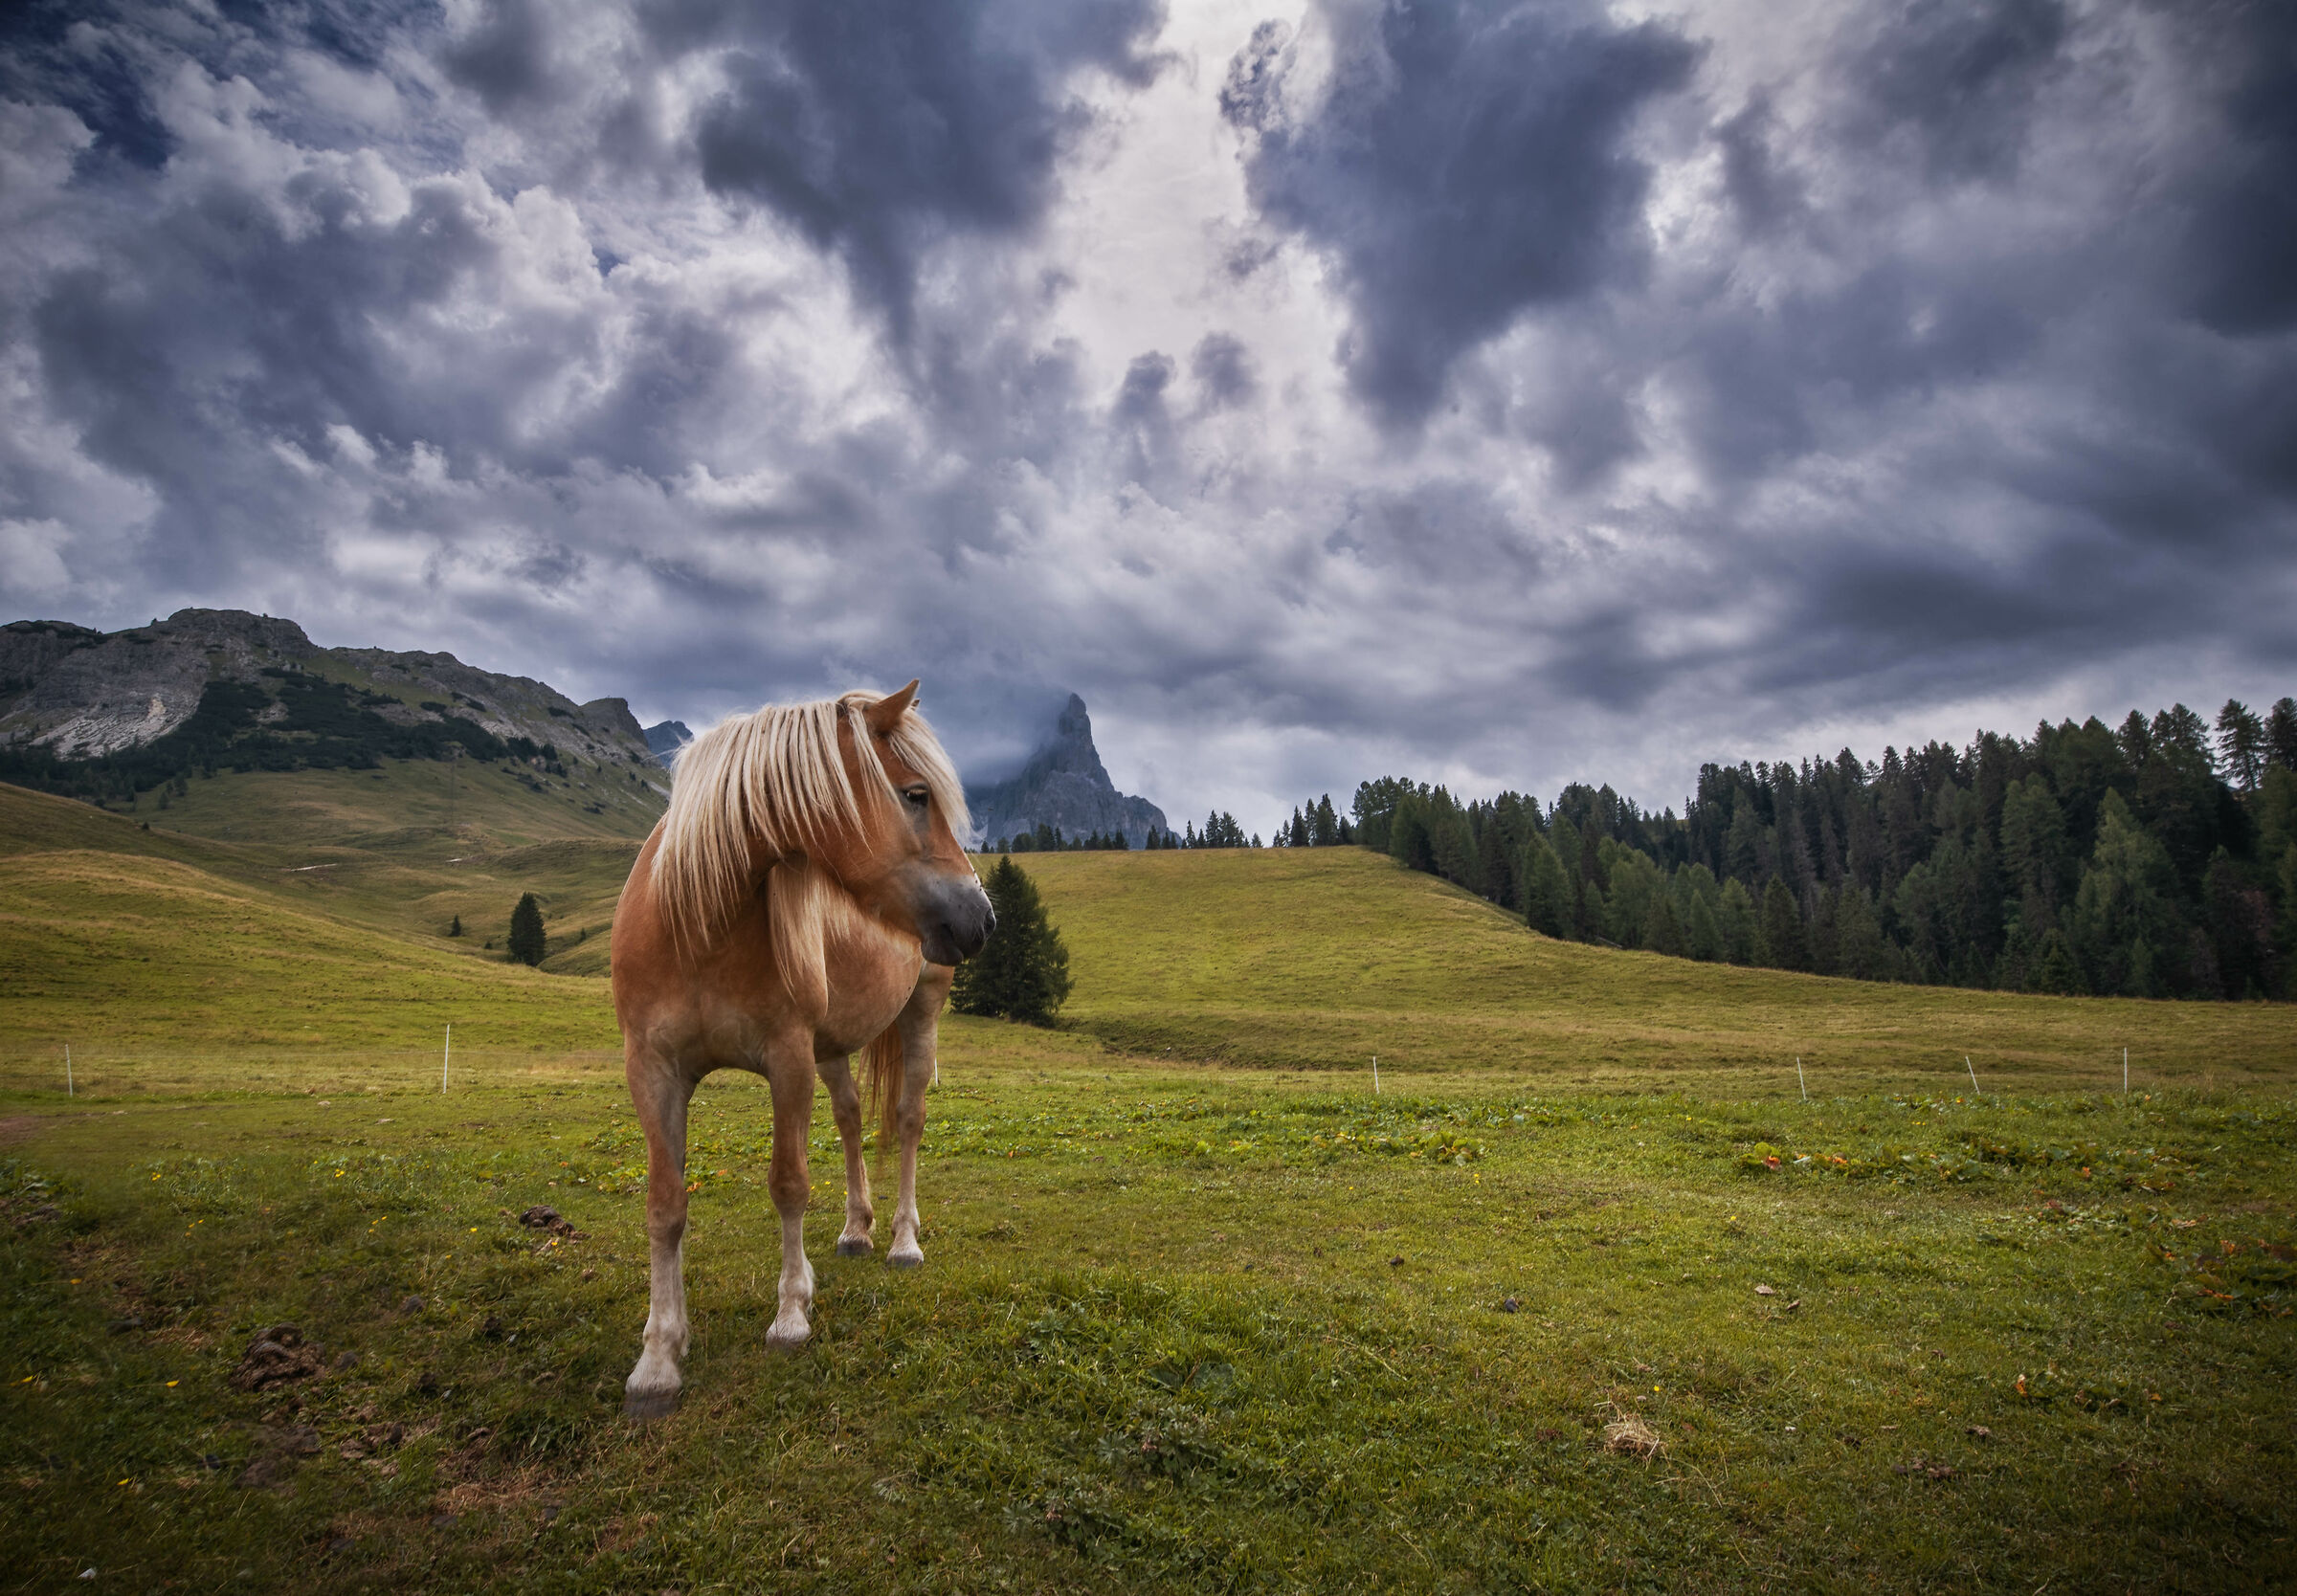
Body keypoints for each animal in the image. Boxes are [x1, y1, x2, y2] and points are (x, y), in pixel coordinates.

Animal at [610, 682, 993, 1418]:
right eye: (916, 794)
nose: (982, 917)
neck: (699, 921)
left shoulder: (787, 1060)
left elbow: (788, 1184)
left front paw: (790, 1316)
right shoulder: (653, 1069)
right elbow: (665, 1206)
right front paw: (658, 1357)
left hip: (919, 1015)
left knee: (907, 1121)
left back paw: (902, 1240)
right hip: (832, 1045)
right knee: (849, 1120)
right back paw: (856, 1230)